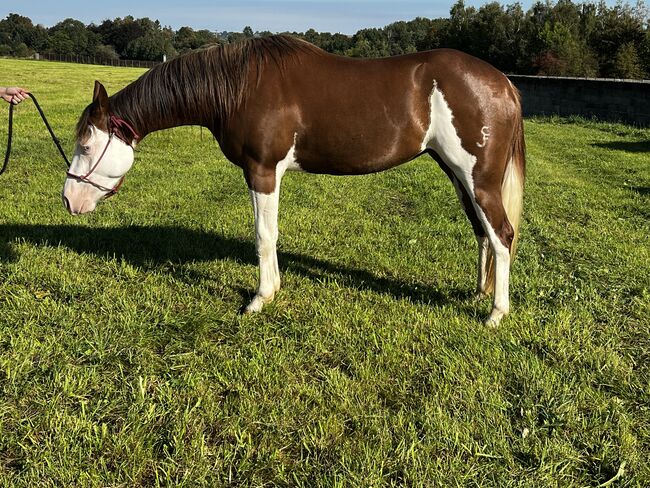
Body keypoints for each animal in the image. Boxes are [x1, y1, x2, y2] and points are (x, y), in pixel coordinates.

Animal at [63, 33, 524, 324]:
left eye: (85, 144)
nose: (69, 200)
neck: (239, 87)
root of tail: (503, 83)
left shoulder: (262, 172)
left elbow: (264, 235)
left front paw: (260, 298)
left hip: (479, 179)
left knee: (501, 233)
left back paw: (495, 314)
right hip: (458, 175)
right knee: (482, 232)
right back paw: (479, 293)